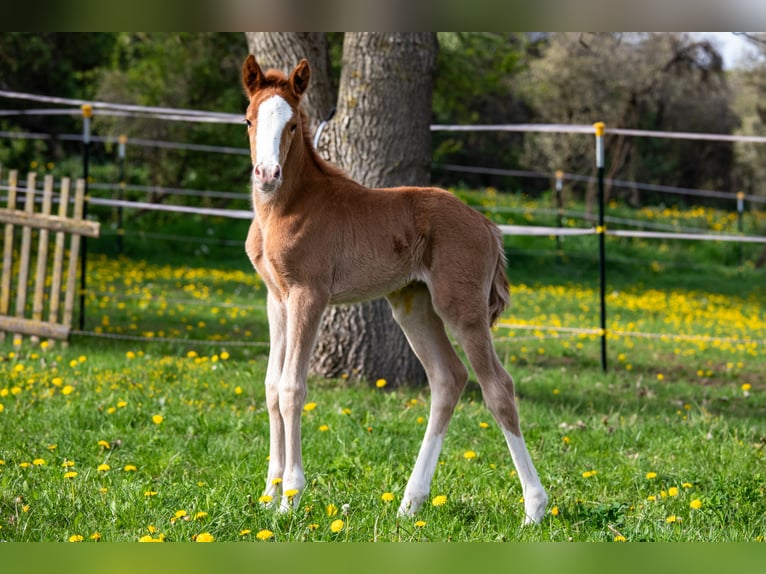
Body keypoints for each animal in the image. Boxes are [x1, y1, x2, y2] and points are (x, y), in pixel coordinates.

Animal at [243, 56, 548, 528]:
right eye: (249, 120)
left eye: (292, 124)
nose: (267, 174)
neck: (288, 207)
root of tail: (487, 225)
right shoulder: (276, 299)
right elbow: (272, 388)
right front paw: (268, 495)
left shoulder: (309, 295)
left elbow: (293, 389)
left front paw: (291, 497)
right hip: (413, 305)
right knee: (448, 379)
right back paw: (410, 503)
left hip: (462, 308)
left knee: (498, 387)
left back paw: (534, 507)